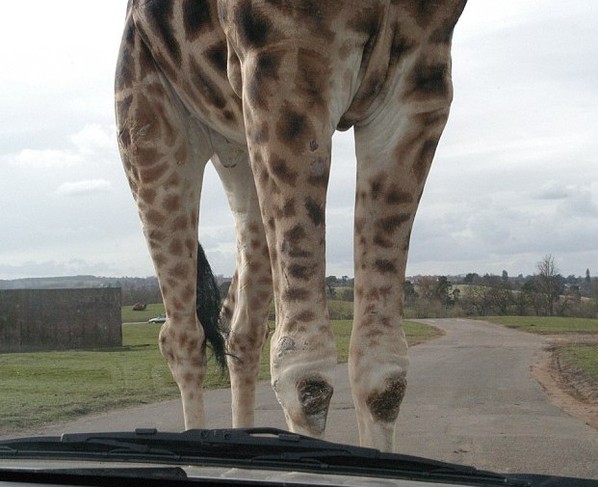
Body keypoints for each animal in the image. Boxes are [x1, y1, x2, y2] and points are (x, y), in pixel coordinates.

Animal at [113, 0, 468, 454]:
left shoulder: (420, 80)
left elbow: (384, 372)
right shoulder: (284, 56)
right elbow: (305, 373)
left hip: (241, 154)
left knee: (240, 327)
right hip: (149, 128)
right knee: (181, 336)